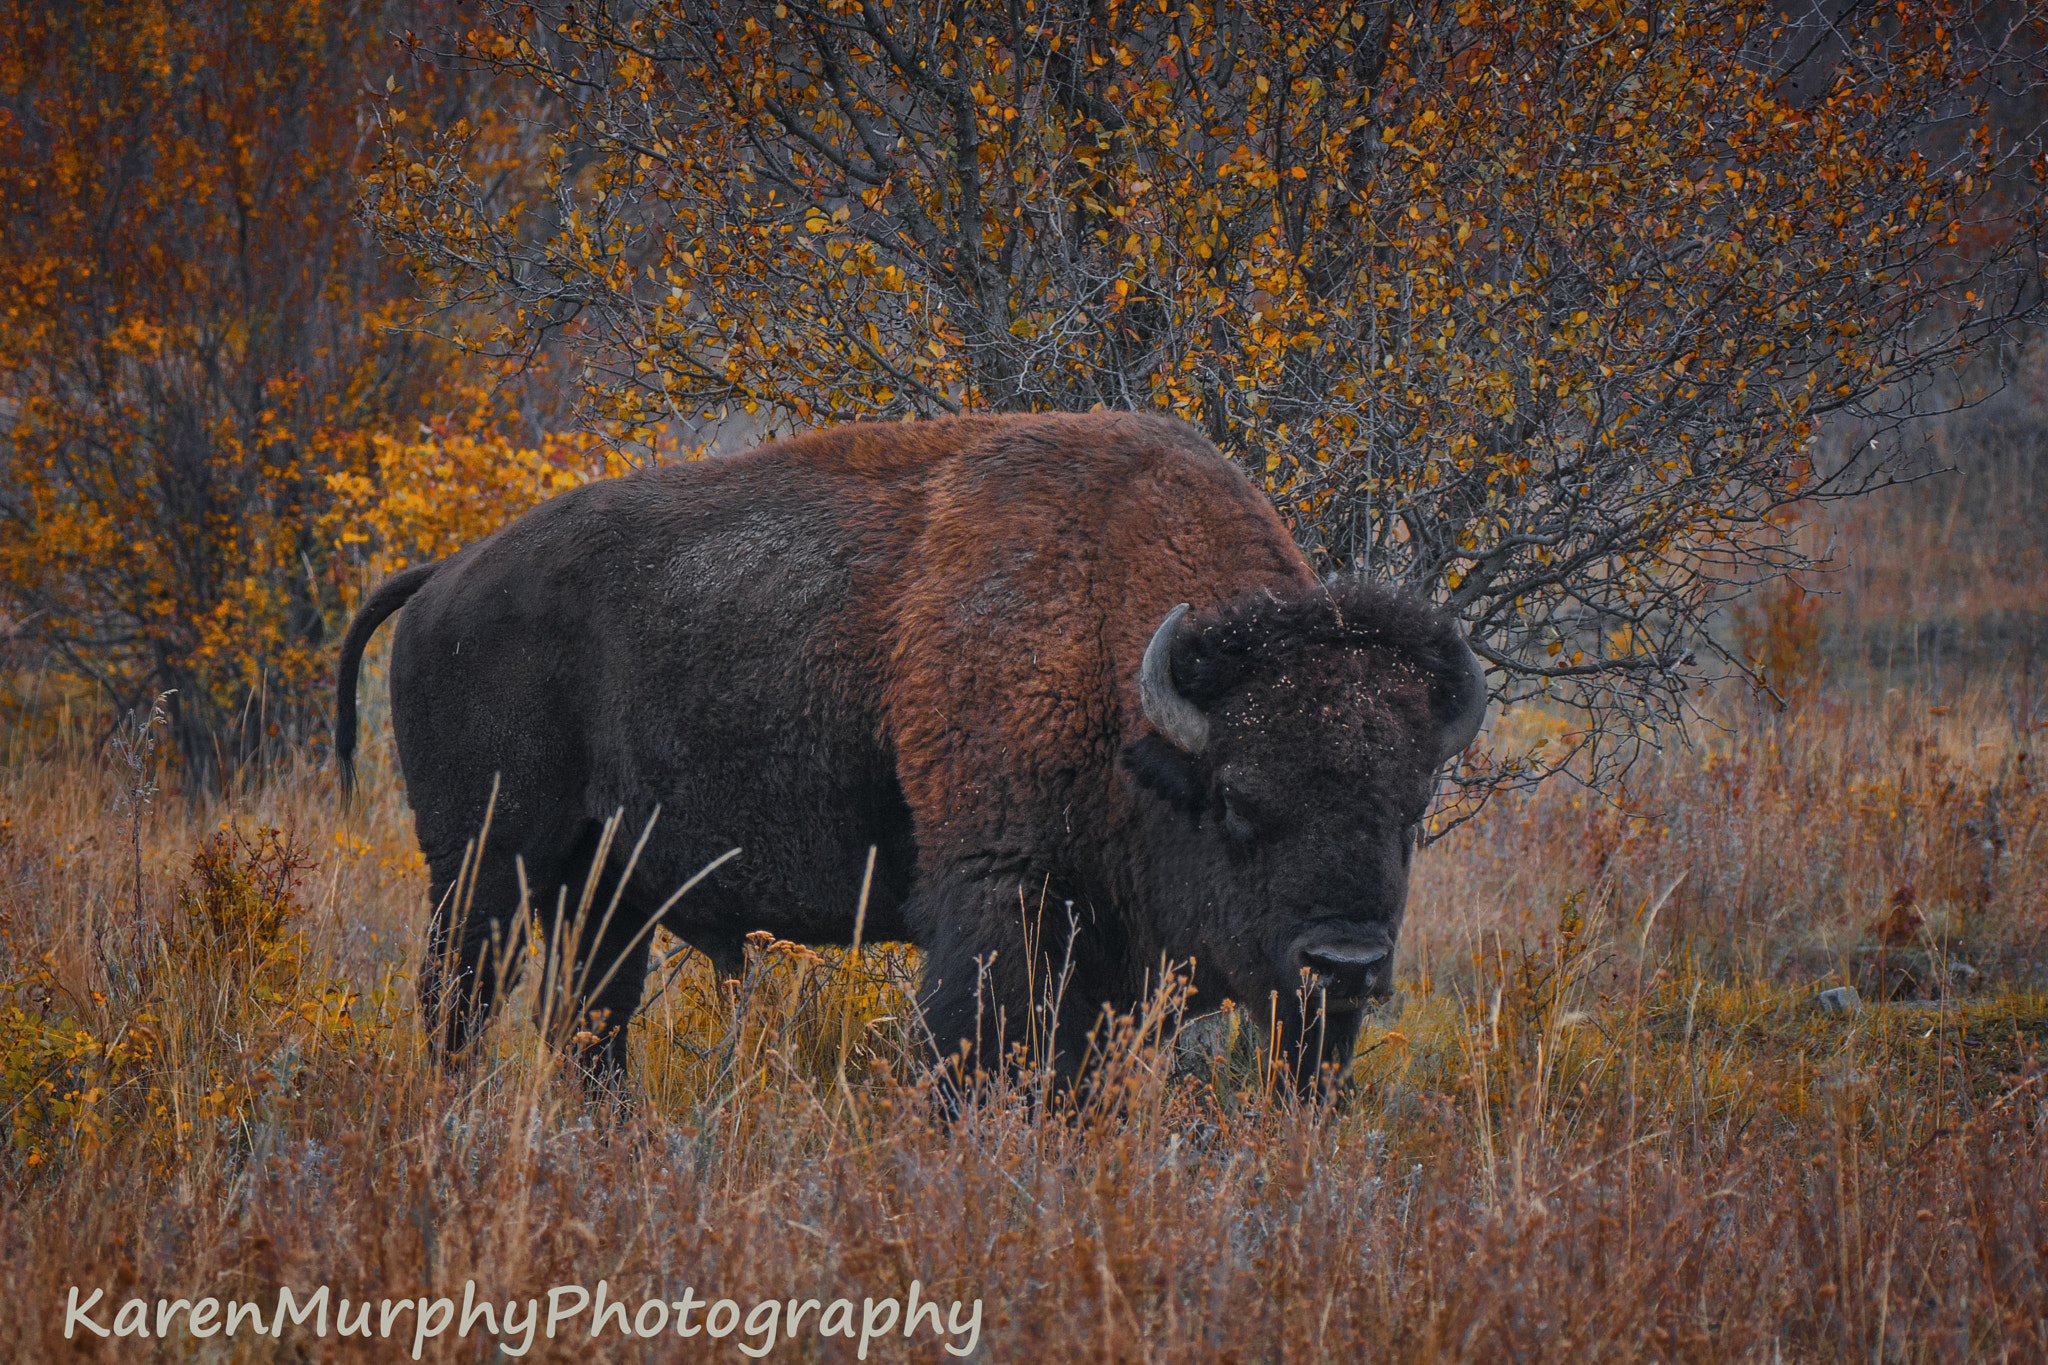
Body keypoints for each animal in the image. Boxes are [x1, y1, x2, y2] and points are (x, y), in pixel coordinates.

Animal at [335, 411, 1490, 1096]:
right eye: (1242, 801)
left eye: (1410, 811)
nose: (1345, 965)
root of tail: (448, 577)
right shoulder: (1001, 905)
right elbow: (974, 1056)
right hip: (482, 863)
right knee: (460, 997)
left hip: (606, 886)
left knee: (589, 1018)